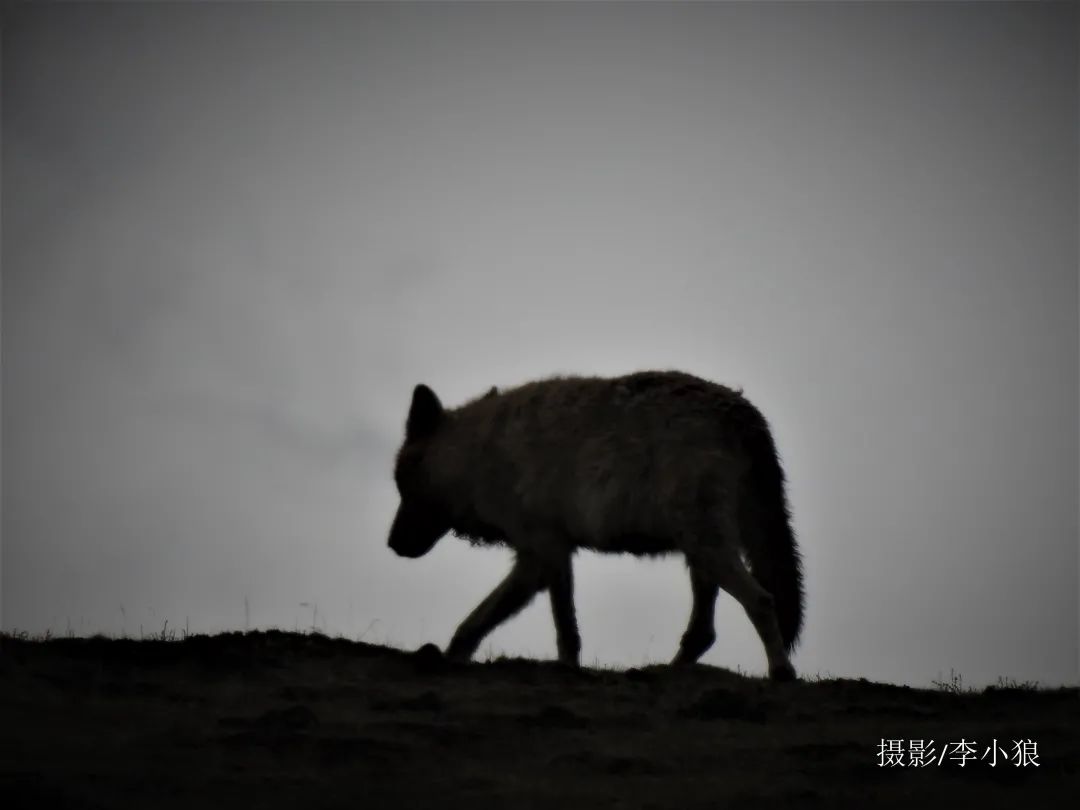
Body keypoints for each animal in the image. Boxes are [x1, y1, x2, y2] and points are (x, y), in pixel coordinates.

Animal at [386, 371, 803, 682]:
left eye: (403, 487)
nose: (391, 544)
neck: (476, 454)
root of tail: (743, 413)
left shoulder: (540, 554)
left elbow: (505, 622)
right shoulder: (552, 556)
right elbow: (546, 627)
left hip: (707, 548)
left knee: (761, 601)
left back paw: (782, 673)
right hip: (699, 555)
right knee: (704, 632)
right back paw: (662, 673)